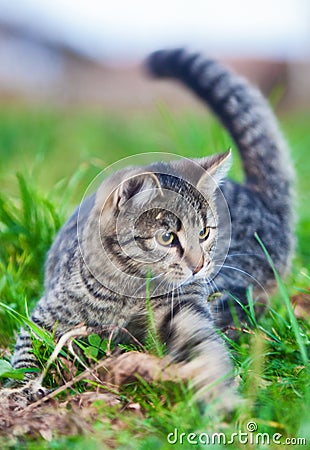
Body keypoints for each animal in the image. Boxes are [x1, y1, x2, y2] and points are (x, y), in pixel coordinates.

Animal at [6, 48, 294, 408]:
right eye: (166, 237)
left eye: (204, 233)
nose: (200, 265)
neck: (127, 292)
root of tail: (262, 199)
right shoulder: (47, 312)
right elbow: (25, 349)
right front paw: (22, 387)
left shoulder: (183, 305)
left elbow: (203, 345)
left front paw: (222, 397)